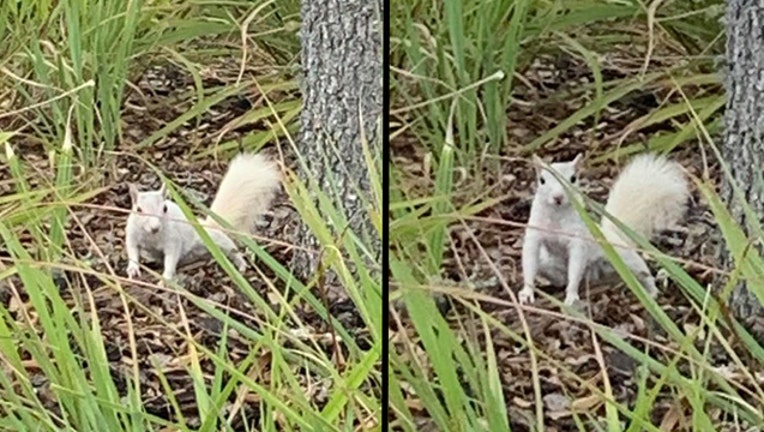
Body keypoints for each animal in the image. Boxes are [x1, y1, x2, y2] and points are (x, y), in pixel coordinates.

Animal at [125, 153, 280, 284]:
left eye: (164, 208)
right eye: (138, 210)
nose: (155, 227)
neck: (151, 236)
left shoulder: (173, 239)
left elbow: (171, 258)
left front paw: (166, 278)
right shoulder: (132, 235)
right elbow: (132, 250)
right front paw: (133, 268)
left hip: (216, 239)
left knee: (231, 248)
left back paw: (241, 265)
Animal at [524, 152, 688, 308]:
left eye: (573, 178)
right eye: (542, 180)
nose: (558, 197)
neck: (557, 215)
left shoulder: (578, 238)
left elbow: (575, 266)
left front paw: (571, 295)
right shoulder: (534, 233)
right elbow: (529, 259)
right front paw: (527, 292)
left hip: (626, 258)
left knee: (643, 273)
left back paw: (652, 293)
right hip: (547, 264)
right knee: (558, 277)